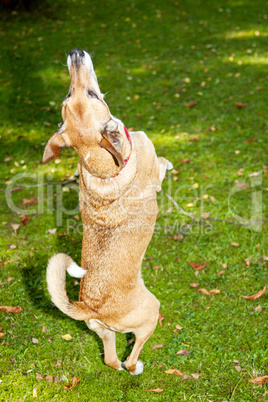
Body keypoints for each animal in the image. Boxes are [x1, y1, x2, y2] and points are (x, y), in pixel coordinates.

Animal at [42, 48, 172, 376]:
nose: (74, 53)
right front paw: (166, 164)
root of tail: (87, 306)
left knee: (111, 360)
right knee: (131, 356)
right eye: (89, 93)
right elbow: (160, 166)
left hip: (103, 332)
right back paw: (136, 368)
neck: (102, 168)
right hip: (151, 312)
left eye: (72, 93)